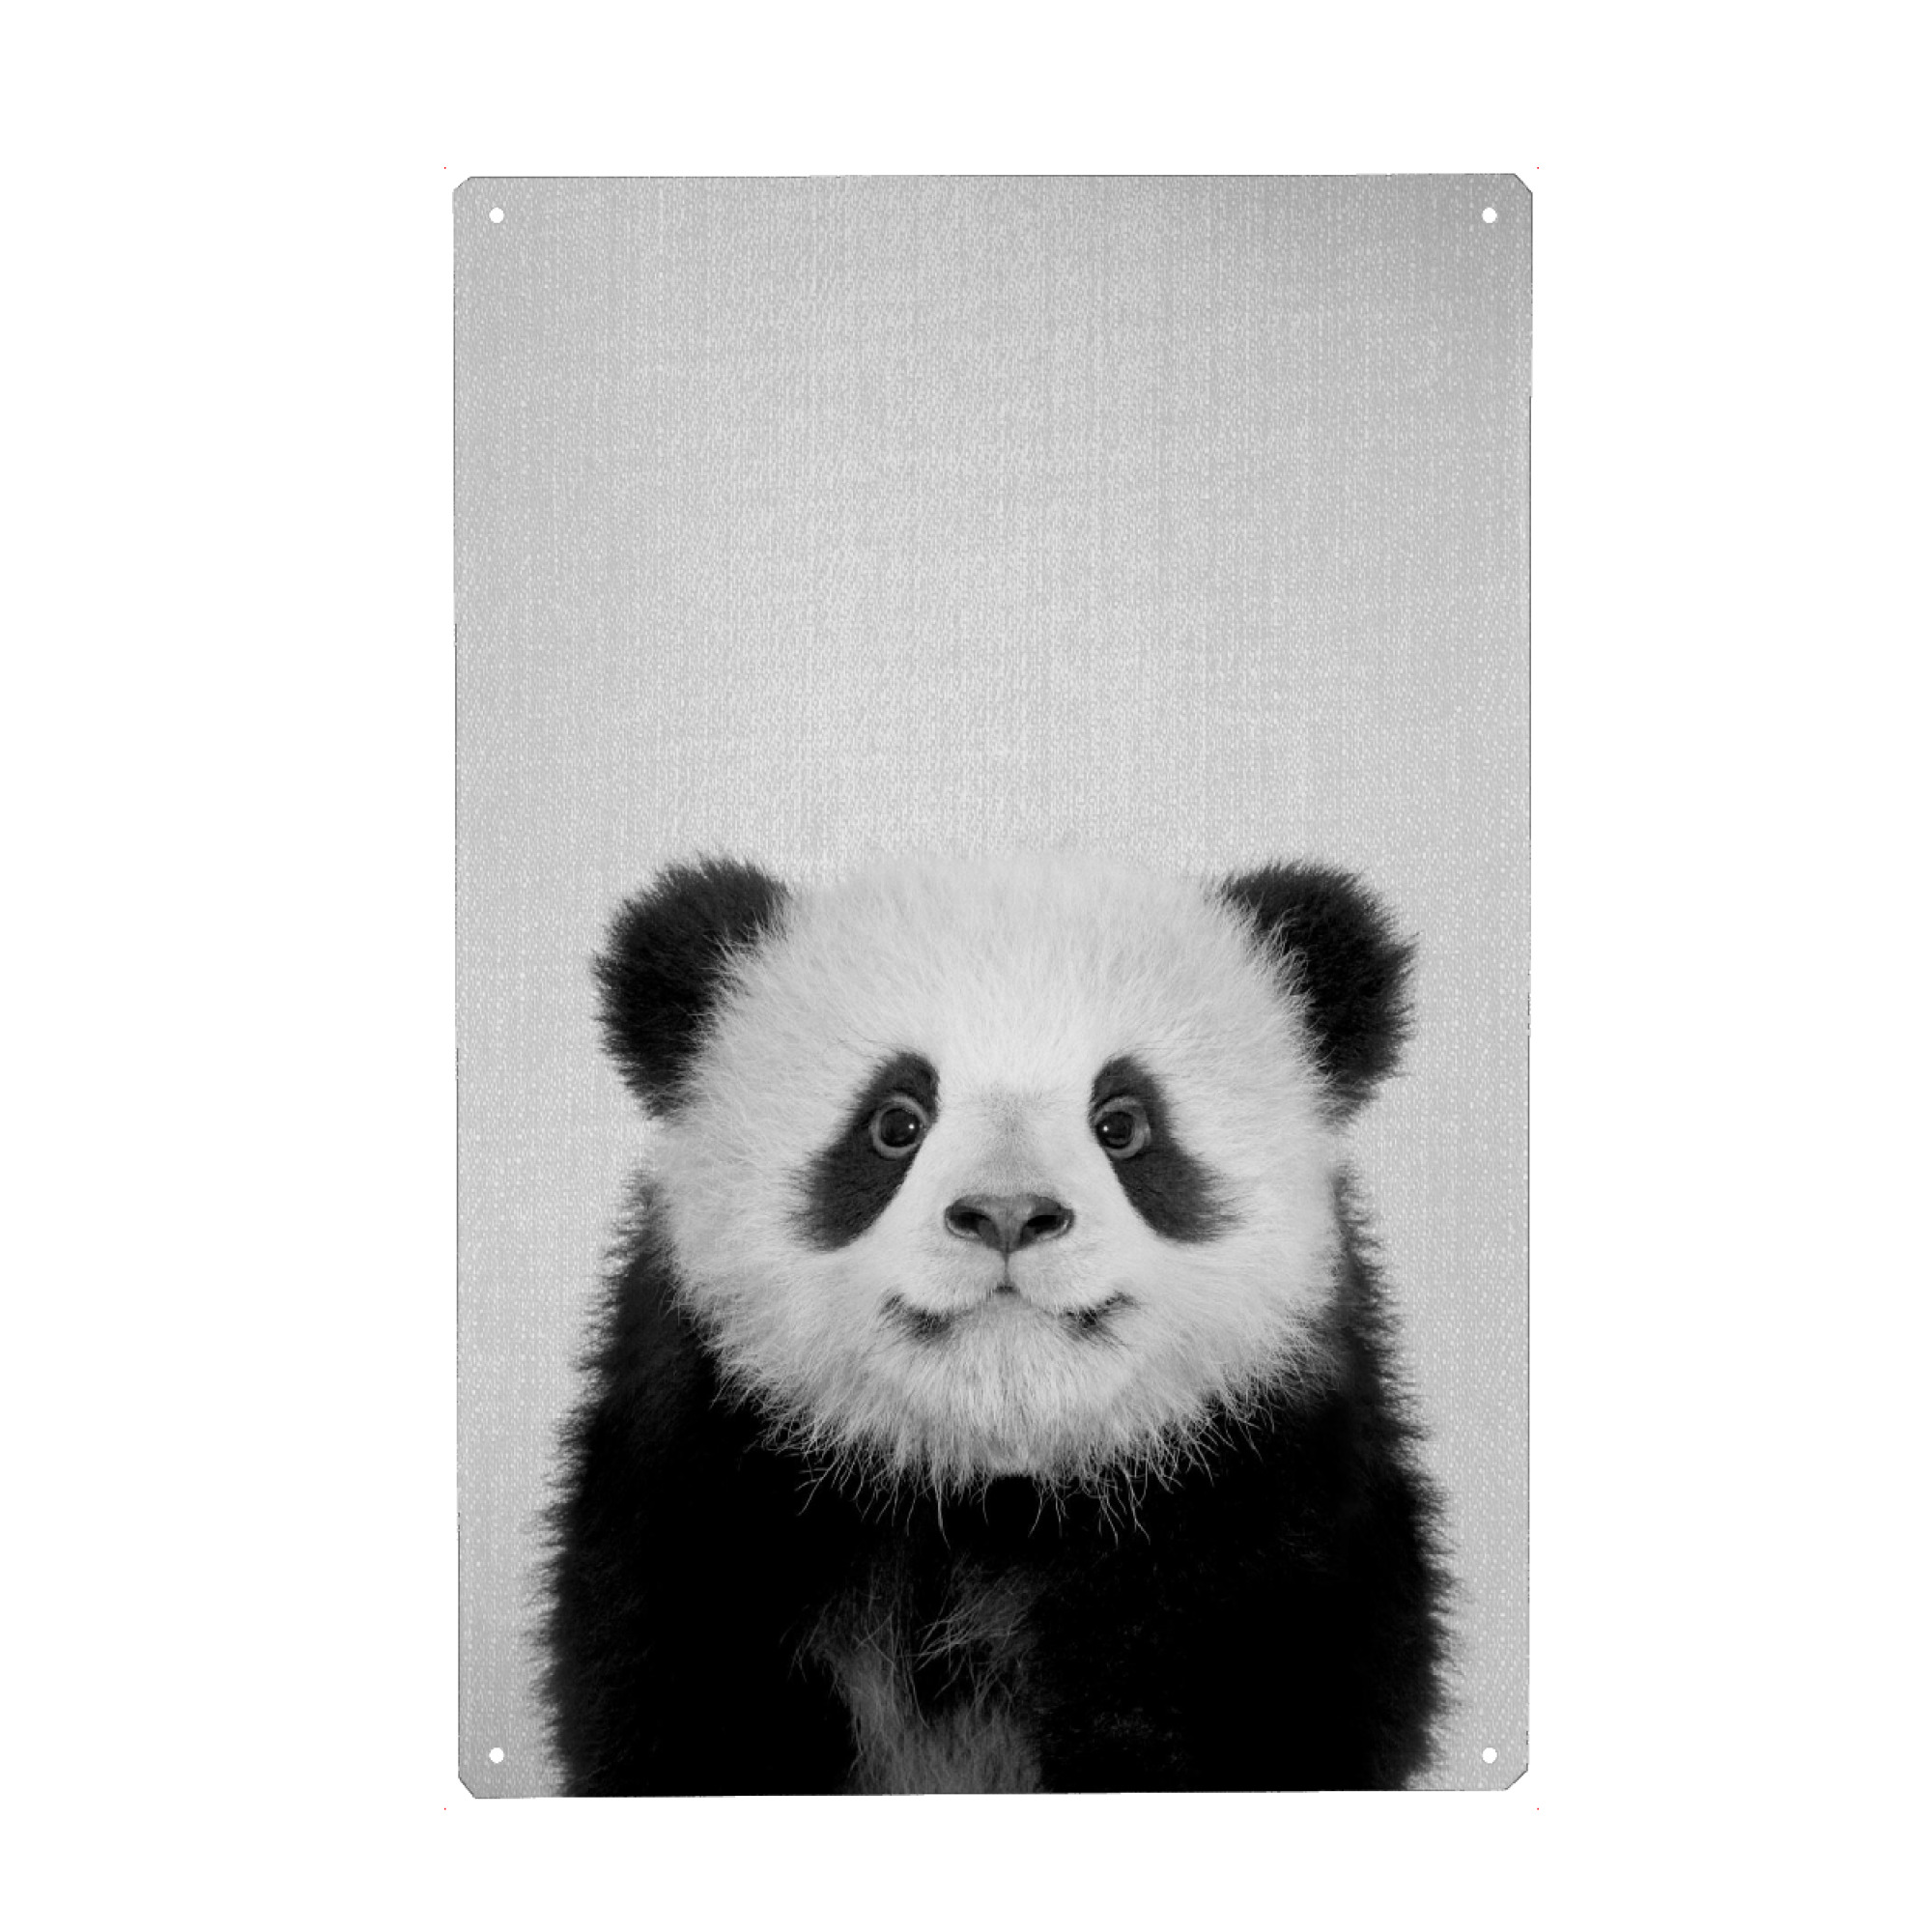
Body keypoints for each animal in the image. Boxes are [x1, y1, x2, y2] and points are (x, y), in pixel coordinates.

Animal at [543, 853, 1447, 1794]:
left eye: (1122, 1124)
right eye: (895, 1122)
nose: (1008, 1214)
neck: (987, 1488)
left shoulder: (1264, 1499)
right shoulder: (710, 1491)